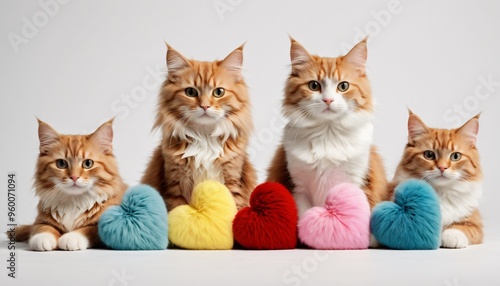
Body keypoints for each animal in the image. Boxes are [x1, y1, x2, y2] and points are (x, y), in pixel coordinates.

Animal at [10, 119, 127, 251]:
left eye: (88, 163)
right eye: (61, 163)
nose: (74, 177)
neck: (74, 202)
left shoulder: (103, 225)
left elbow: (88, 229)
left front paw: (71, 238)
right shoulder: (41, 219)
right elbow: (41, 228)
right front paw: (43, 239)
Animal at [142, 44, 256, 210]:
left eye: (219, 92)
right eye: (190, 92)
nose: (205, 106)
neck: (204, 137)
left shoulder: (233, 179)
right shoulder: (175, 184)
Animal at [268, 38, 388, 217]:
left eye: (343, 86)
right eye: (314, 85)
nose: (328, 100)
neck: (327, 132)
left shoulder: (357, 180)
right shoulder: (298, 187)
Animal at [392, 111, 482, 248]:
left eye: (456, 156)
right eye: (429, 155)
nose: (442, 167)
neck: (440, 193)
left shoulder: (474, 222)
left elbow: (462, 228)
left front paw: (451, 236)